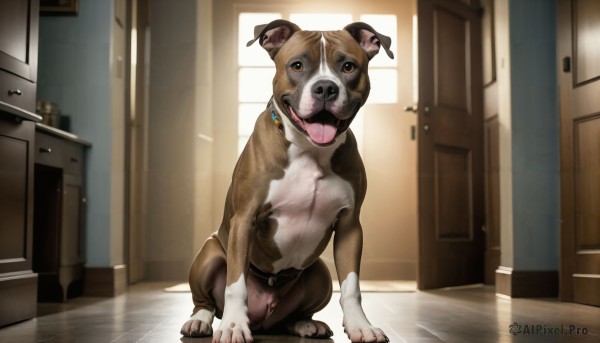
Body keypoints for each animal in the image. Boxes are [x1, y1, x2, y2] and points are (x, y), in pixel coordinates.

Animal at [178, 19, 394, 343]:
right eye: (297, 65)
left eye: (348, 66)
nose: (325, 88)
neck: (309, 150)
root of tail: (263, 321)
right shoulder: (245, 220)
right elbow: (235, 284)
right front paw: (233, 326)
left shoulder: (349, 226)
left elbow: (351, 286)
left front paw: (361, 326)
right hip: (209, 253)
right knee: (204, 299)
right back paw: (200, 321)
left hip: (319, 273)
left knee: (294, 314)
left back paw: (307, 324)